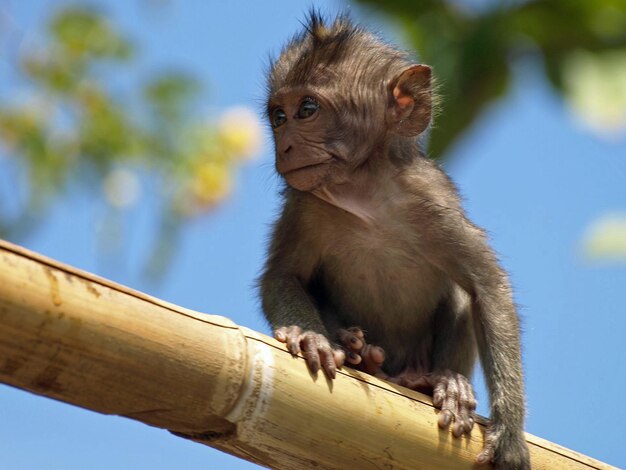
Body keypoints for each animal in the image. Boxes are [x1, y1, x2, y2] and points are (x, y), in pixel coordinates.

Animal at [260, 11, 532, 470]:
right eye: (278, 116)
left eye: (307, 109)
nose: (286, 145)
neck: (364, 192)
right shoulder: (305, 205)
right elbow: (283, 277)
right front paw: (311, 337)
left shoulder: (432, 200)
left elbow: (487, 285)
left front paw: (509, 432)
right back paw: (360, 351)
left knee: (460, 293)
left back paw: (438, 382)